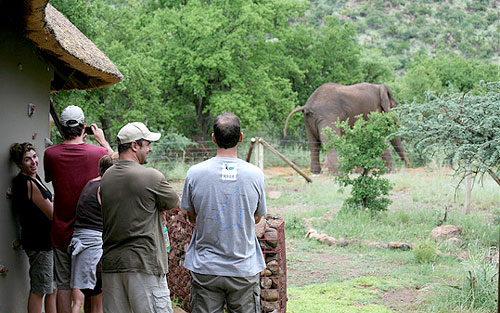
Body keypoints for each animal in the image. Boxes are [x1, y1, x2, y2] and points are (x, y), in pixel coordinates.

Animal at [284, 81, 412, 174]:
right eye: (395, 107)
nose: (408, 166)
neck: (379, 87)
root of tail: (307, 105)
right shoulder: (370, 110)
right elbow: (372, 136)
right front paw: (392, 171)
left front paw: (359, 171)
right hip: (327, 117)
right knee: (331, 142)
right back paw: (336, 173)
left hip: (308, 120)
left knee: (314, 145)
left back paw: (316, 173)